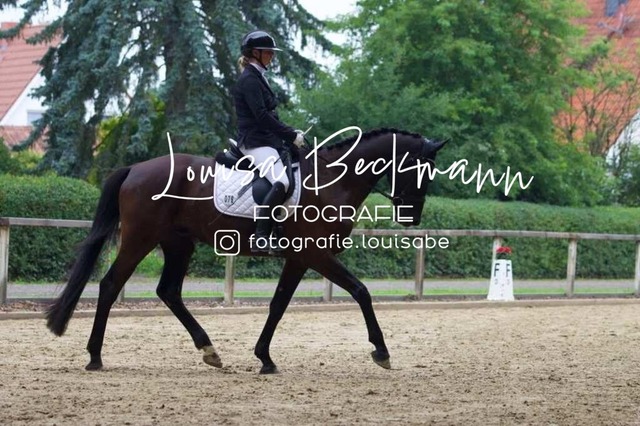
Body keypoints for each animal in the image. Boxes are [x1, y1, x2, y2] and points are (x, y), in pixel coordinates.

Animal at [45, 127, 446, 374]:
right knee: (111, 285)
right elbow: (361, 291)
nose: (411, 216)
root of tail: (134, 169)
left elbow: (278, 305)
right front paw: (381, 351)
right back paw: (95, 356)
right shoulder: (316, 254)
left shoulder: (299, 259)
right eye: (419, 170)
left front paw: (264, 358)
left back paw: (209, 350)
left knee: (168, 291)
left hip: (178, 243)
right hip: (140, 239)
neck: (332, 180)